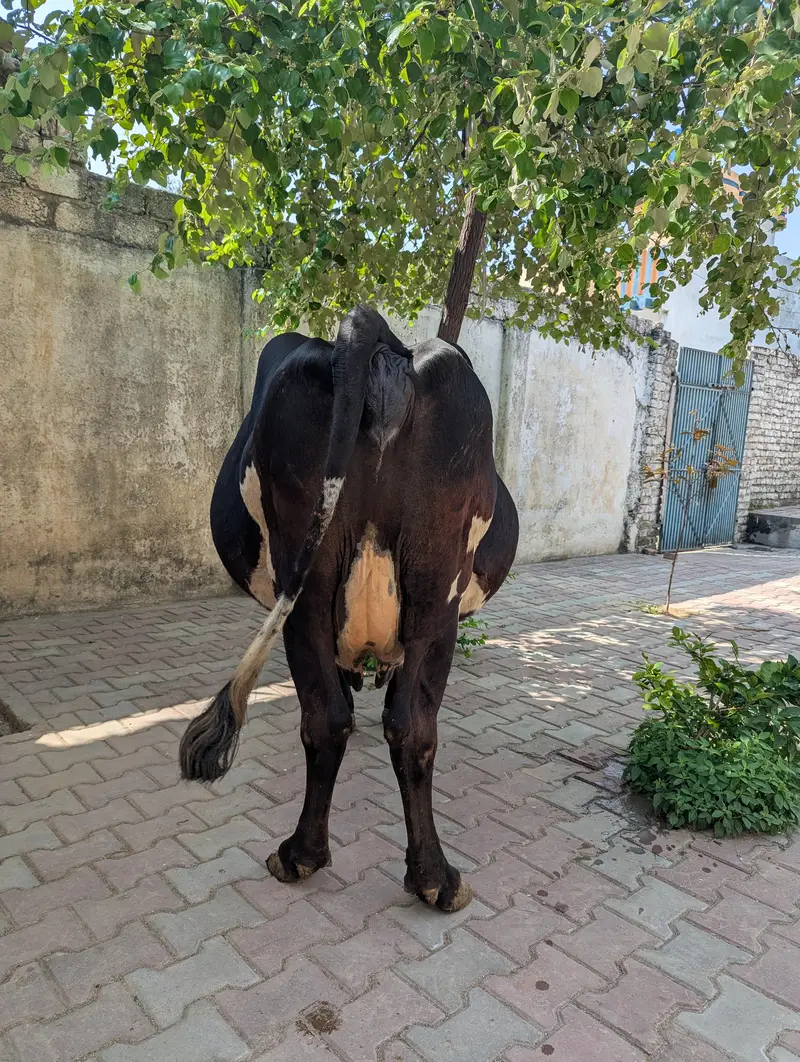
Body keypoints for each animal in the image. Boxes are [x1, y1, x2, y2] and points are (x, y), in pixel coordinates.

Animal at [179, 306, 519, 912]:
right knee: (401, 724)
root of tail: (374, 338)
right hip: (429, 594)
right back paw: (429, 877)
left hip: (321, 588)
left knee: (340, 718)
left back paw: (315, 857)